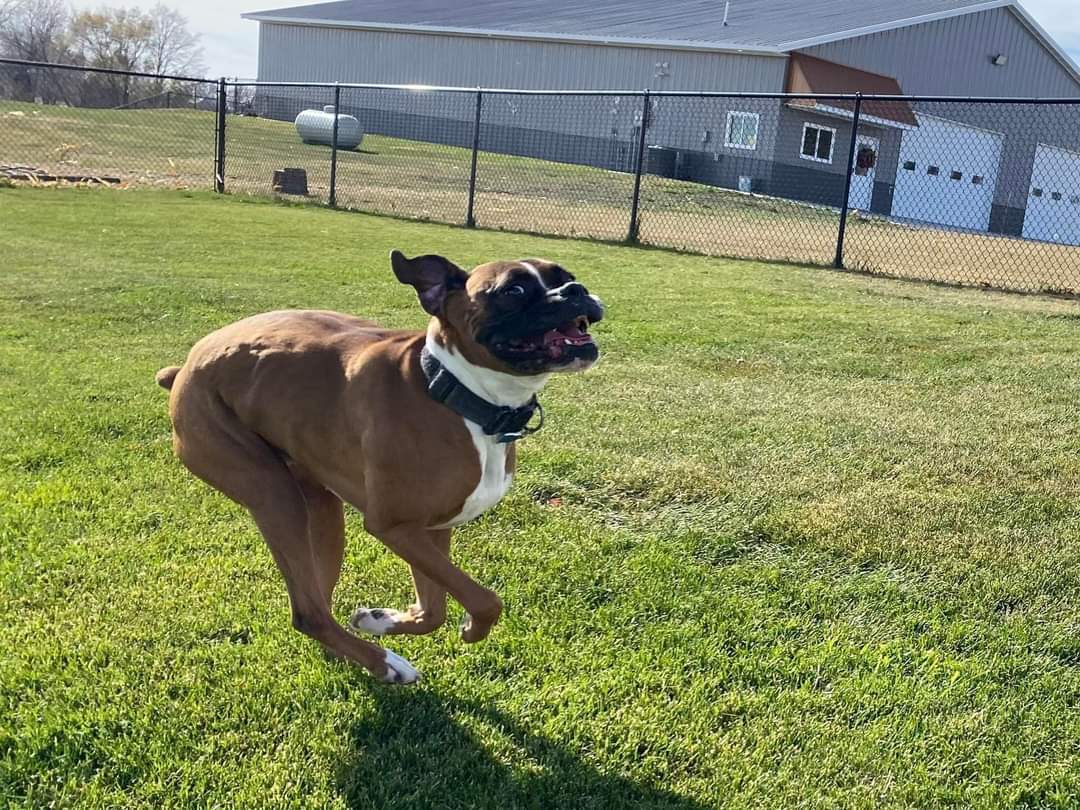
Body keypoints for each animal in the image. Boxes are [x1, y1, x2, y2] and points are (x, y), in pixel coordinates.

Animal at [155, 252, 604, 686]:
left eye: (565, 275)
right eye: (513, 290)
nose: (576, 290)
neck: (453, 390)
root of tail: (186, 365)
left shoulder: (432, 531)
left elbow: (434, 610)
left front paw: (379, 620)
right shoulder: (393, 527)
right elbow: (486, 601)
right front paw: (468, 630)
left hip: (321, 508)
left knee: (317, 601)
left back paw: (359, 653)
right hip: (271, 493)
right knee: (308, 612)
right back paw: (385, 664)